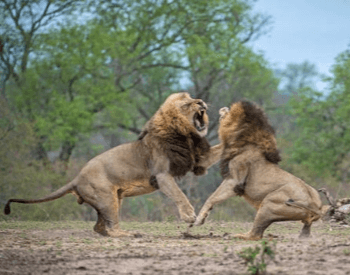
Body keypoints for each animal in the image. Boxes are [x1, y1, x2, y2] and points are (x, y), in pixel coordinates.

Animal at [3, 92, 221, 237]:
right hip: (107, 199)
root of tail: (76, 178)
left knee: (100, 227)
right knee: (110, 227)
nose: (201, 102)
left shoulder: (198, 160)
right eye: (187, 103)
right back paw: (129, 234)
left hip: (114, 199)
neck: (187, 136)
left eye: (193, 97)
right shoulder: (161, 175)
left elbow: (220, 149)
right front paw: (189, 216)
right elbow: (179, 194)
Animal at [194, 102, 330, 242]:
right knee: (305, 227)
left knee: (256, 234)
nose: (223, 108)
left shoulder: (234, 181)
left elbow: (212, 197)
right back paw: (303, 236)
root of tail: (316, 206)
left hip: (269, 203)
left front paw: (199, 219)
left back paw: (236, 235)